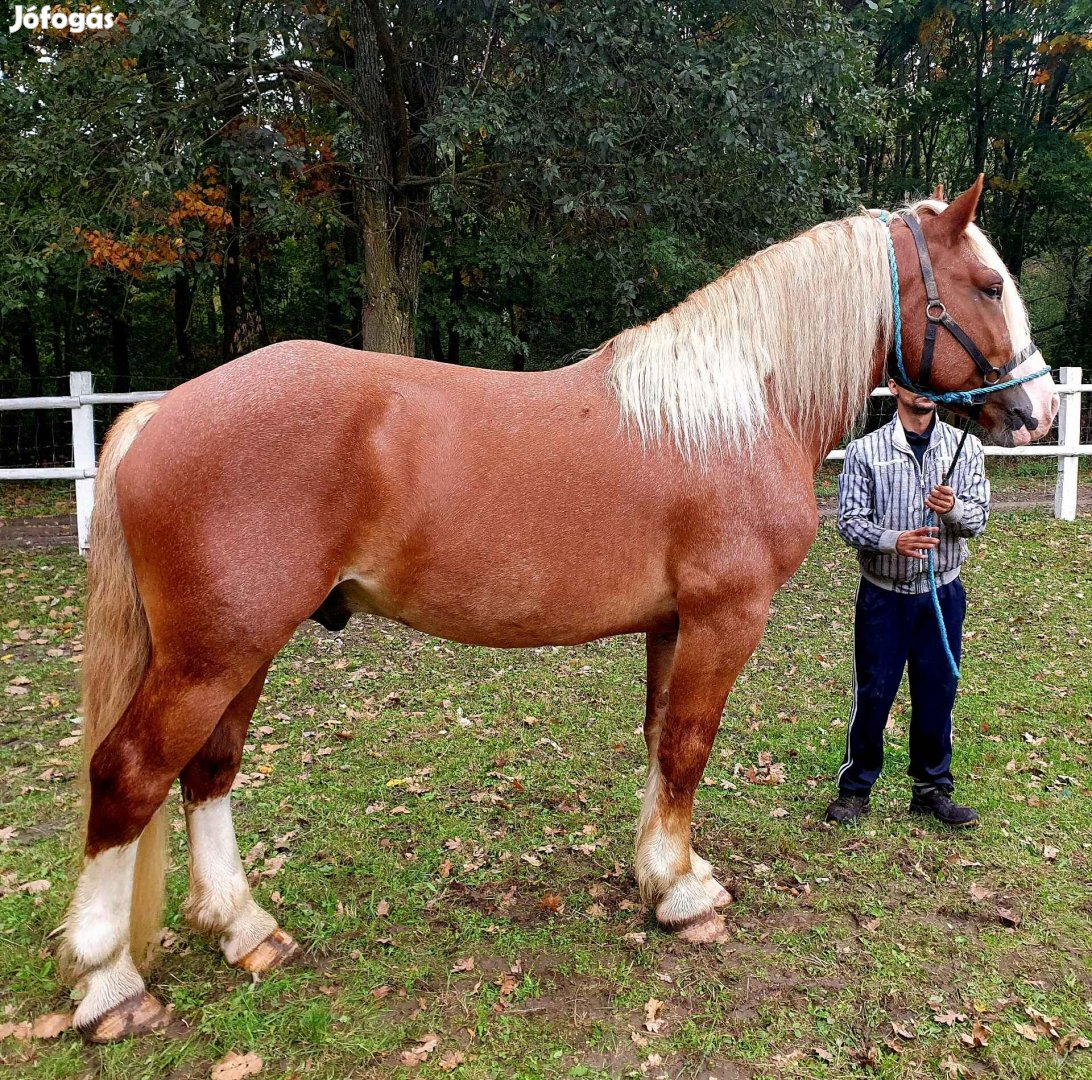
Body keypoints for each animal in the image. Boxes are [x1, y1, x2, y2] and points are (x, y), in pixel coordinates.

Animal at [59, 176, 1057, 1035]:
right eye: (987, 284)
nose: (1041, 410)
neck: (741, 407)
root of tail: (160, 414)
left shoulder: (672, 626)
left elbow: (660, 743)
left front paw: (659, 874)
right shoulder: (726, 618)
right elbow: (689, 747)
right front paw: (686, 898)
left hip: (242, 650)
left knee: (207, 772)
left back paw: (243, 929)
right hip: (210, 656)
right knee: (130, 776)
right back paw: (109, 984)